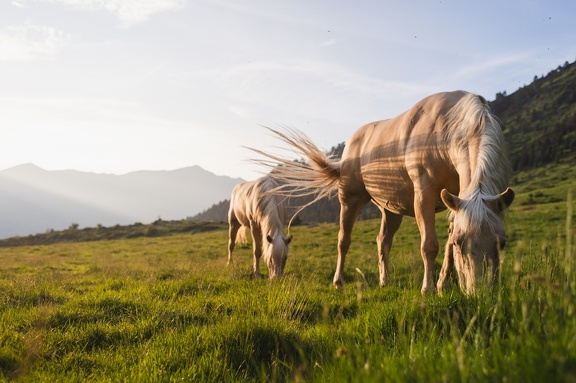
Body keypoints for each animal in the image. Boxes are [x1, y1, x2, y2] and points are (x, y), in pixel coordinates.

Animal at [254, 91, 516, 296]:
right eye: (462, 244)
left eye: (502, 242)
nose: (481, 294)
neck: (448, 128)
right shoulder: (424, 196)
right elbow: (429, 245)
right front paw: (428, 289)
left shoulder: (457, 198)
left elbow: (446, 237)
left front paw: (443, 284)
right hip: (349, 200)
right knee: (343, 241)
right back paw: (339, 282)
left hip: (392, 210)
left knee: (383, 241)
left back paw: (384, 281)